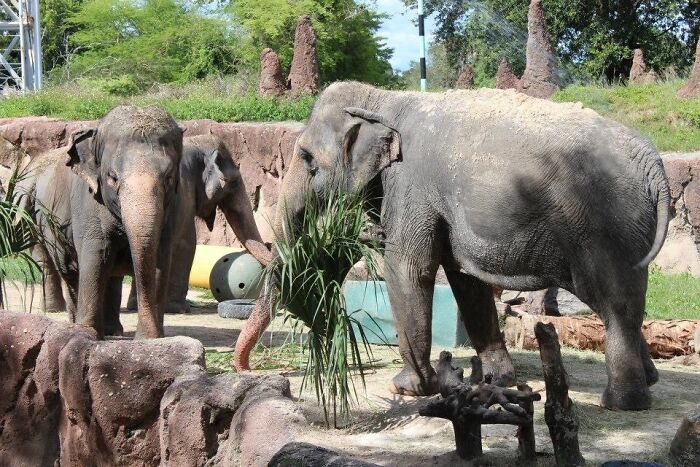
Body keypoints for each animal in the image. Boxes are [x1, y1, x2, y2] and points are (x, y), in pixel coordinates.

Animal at [32, 105, 184, 338]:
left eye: (168, 178)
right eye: (112, 178)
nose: (149, 333)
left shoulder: (171, 208)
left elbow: (158, 259)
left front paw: (151, 340)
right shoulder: (89, 203)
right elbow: (96, 256)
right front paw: (87, 334)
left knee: (112, 278)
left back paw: (113, 332)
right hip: (49, 224)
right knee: (70, 271)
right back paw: (77, 325)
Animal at [235, 82, 670, 411]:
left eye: (308, 159)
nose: (249, 370)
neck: (384, 97)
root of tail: (655, 166)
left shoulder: (410, 185)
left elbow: (408, 267)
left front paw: (407, 387)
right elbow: (465, 280)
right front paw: (497, 381)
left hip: (606, 226)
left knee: (615, 305)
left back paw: (623, 403)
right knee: (629, 303)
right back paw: (650, 381)